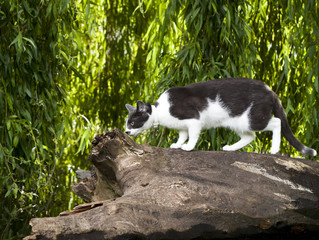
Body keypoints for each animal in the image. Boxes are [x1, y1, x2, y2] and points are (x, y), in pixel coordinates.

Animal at [125, 77, 318, 156]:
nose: (126, 132)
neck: (161, 110)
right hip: (238, 122)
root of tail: (269, 89)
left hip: (253, 118)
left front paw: (188, 147)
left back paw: (274, 149)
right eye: (127, 123)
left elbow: (192, 135)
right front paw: (178, 144)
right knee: (250, 137)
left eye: (133, 122)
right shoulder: (183, 125)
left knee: (276, 122)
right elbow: (182, 135)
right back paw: (230, 148)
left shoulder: (194, 119)